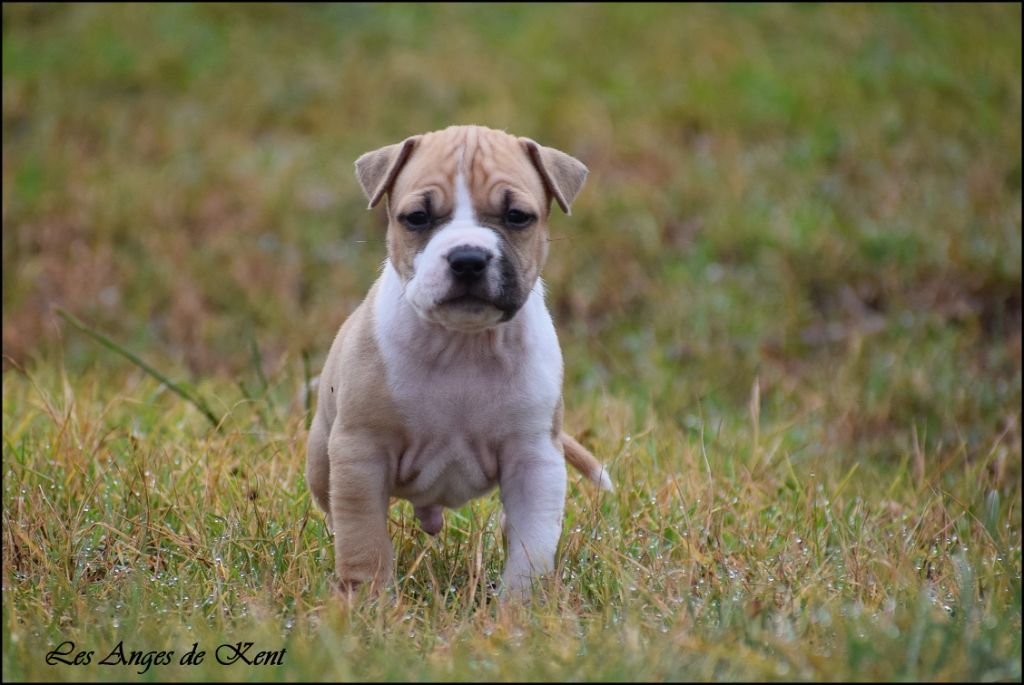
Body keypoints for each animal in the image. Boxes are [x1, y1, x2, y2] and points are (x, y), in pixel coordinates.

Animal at [301, 125, 606, 593]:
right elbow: (363, 537)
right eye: (416, 218)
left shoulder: (534, 460)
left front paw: (522, 603)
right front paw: (366, 599)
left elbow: (532, 546)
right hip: (322, 456)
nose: (468, 258)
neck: (464, 344)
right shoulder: (360, 453)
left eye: (517, 216)